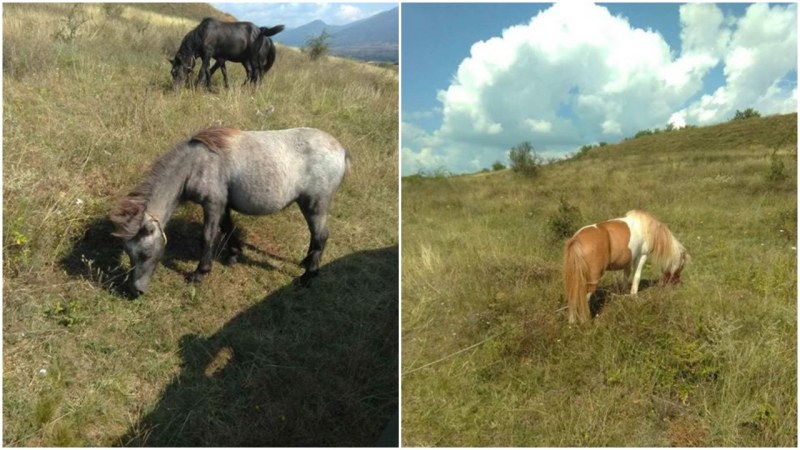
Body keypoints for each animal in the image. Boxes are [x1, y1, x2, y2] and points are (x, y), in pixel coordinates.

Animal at [108, 125, 350, 296]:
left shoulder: (213, 204)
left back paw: (309, 275)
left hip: (315, 205)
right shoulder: (223, 205)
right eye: (129, 253)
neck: (197, 164)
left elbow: (208, 237)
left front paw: (200, 273)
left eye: (145, 254)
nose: (135, 291)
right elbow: (228, 229)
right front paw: (233, 254)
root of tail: (341, 150)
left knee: (320, 236)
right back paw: (306, 262)